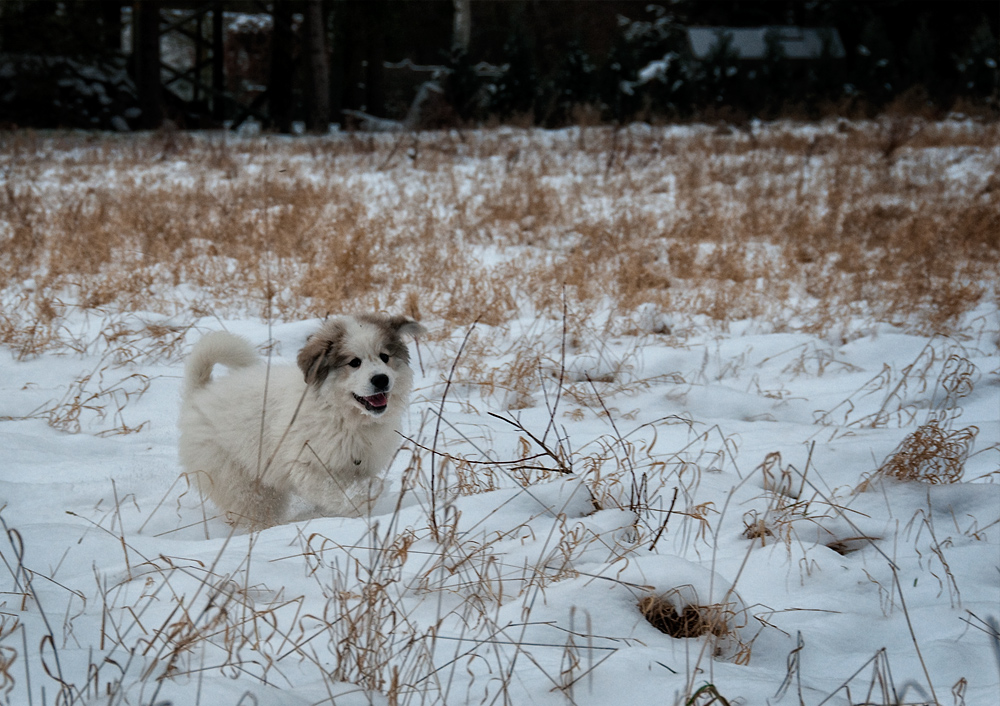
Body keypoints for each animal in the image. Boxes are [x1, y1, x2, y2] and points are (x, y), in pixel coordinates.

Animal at [178, 314, 424, 528]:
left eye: (385, 357)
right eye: (354, 362)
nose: (381, 379)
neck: (341, 413)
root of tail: (199, 395)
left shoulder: (361, 463)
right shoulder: (307, 465)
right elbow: (335, 490)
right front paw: (370, 493)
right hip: (237, 480)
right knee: (254, 508)